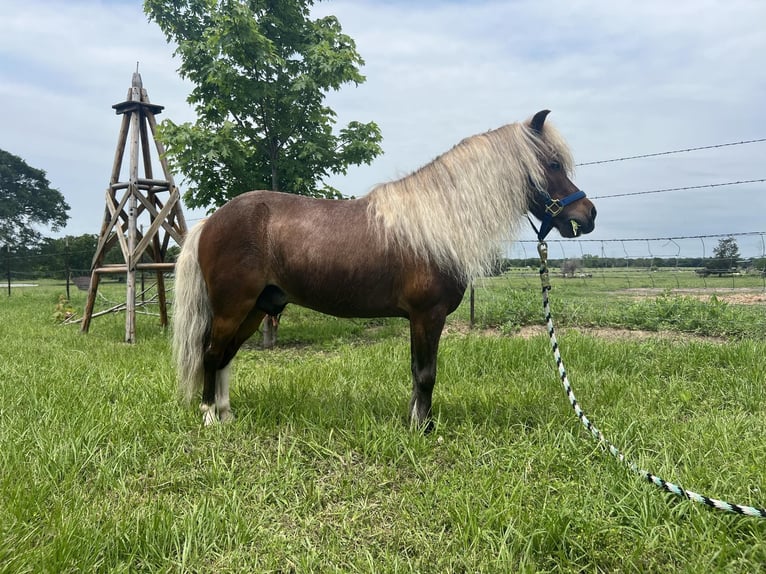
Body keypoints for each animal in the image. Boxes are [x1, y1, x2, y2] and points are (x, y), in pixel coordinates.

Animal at [174, 110, 600, 430]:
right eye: (553, 163)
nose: (589, 214)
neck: (436, 222)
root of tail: (211, 221)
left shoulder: (420, 318)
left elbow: (416, 371)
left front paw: (415, 421)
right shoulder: (428, 315)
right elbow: (426, 373)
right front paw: (423, 428)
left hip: (255, 308)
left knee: (226, 355)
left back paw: (227, 414)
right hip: (232, 307)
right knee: (212, 354)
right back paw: (210, 417)